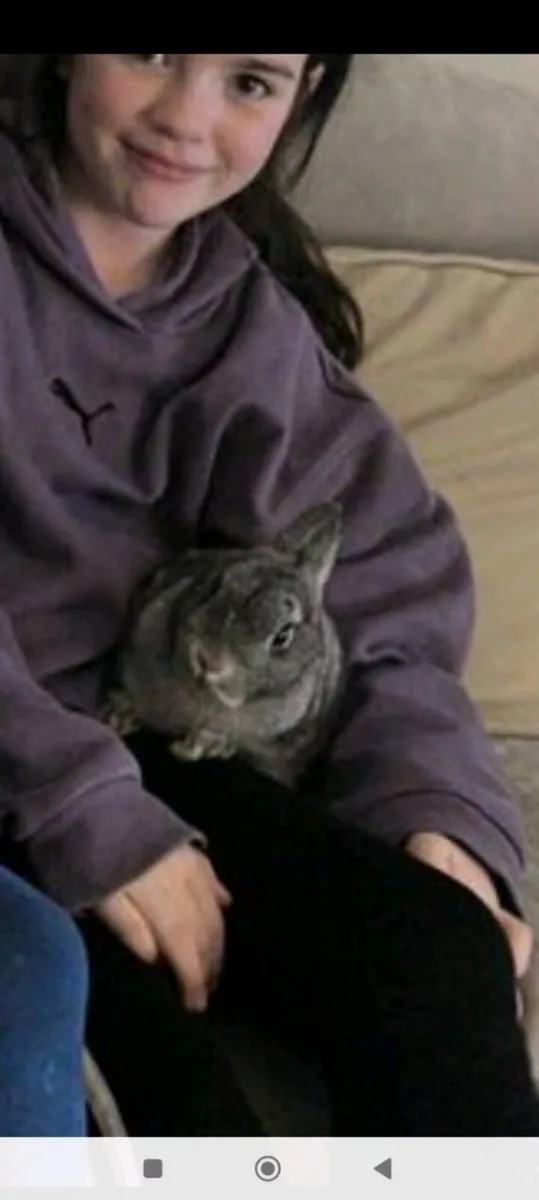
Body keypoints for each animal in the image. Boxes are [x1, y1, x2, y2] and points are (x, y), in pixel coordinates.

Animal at [99, 503, 345, 787]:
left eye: (283, 636)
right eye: (216, 584)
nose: (209, 660)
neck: (204, 693)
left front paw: (199, 746)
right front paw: (118, 717)